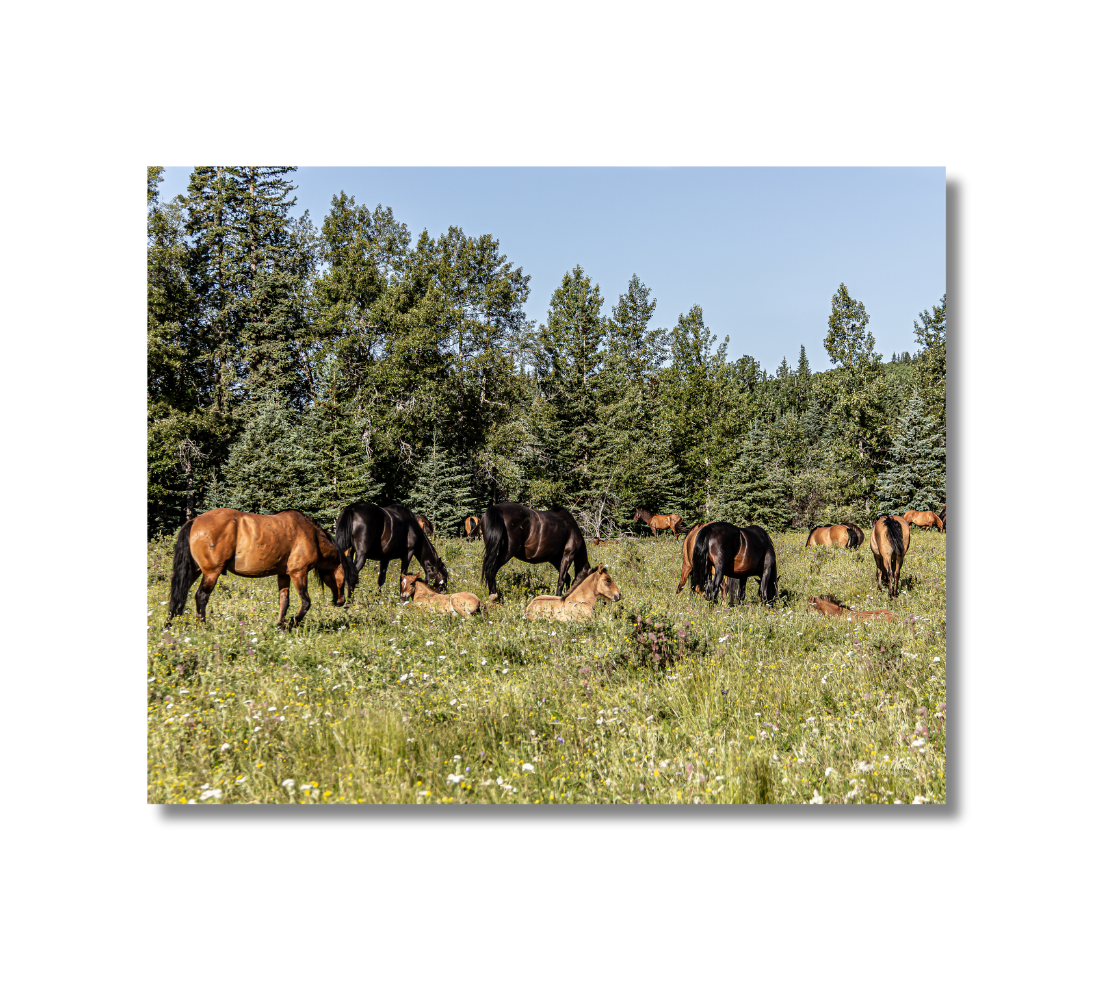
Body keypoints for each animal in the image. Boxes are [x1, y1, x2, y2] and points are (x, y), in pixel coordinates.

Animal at [167, 508, 358, 628]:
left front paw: (280, 626)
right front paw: (292, 623)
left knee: (179, 594)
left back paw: (170, 624)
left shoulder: (284, 575)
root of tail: (194, 521)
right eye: (344, 574)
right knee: (201, 596)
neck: (311, 535)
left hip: (194, 571)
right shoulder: (298, 573)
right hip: (211, 573)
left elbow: (284, 602)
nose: (341, 601)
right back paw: (203, 626)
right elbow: (305, 602)